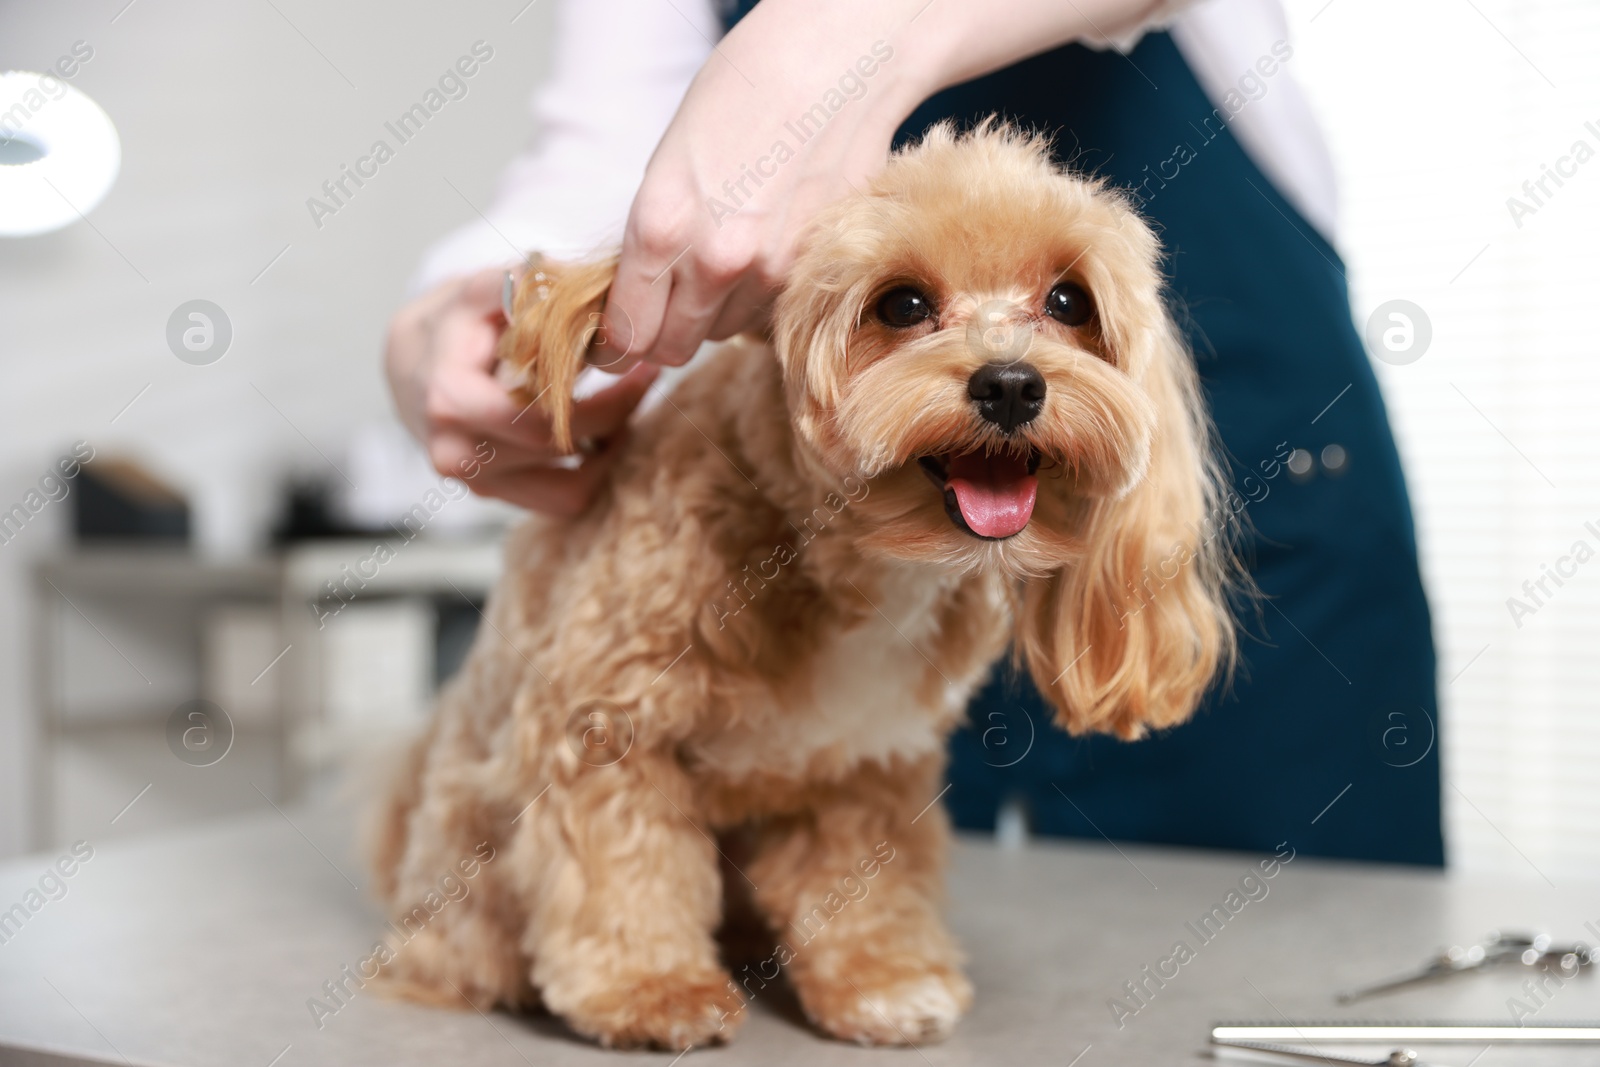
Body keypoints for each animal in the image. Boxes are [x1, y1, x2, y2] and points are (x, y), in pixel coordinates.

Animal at [368, 123, 1228, 1049]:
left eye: (1069, 302)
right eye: (902, 305)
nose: (1009, 383)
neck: (858, 564)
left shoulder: (867, 764)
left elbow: (858, 882)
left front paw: (880, 980)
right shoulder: (604, 726)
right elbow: (624, 866)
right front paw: (651, 988)